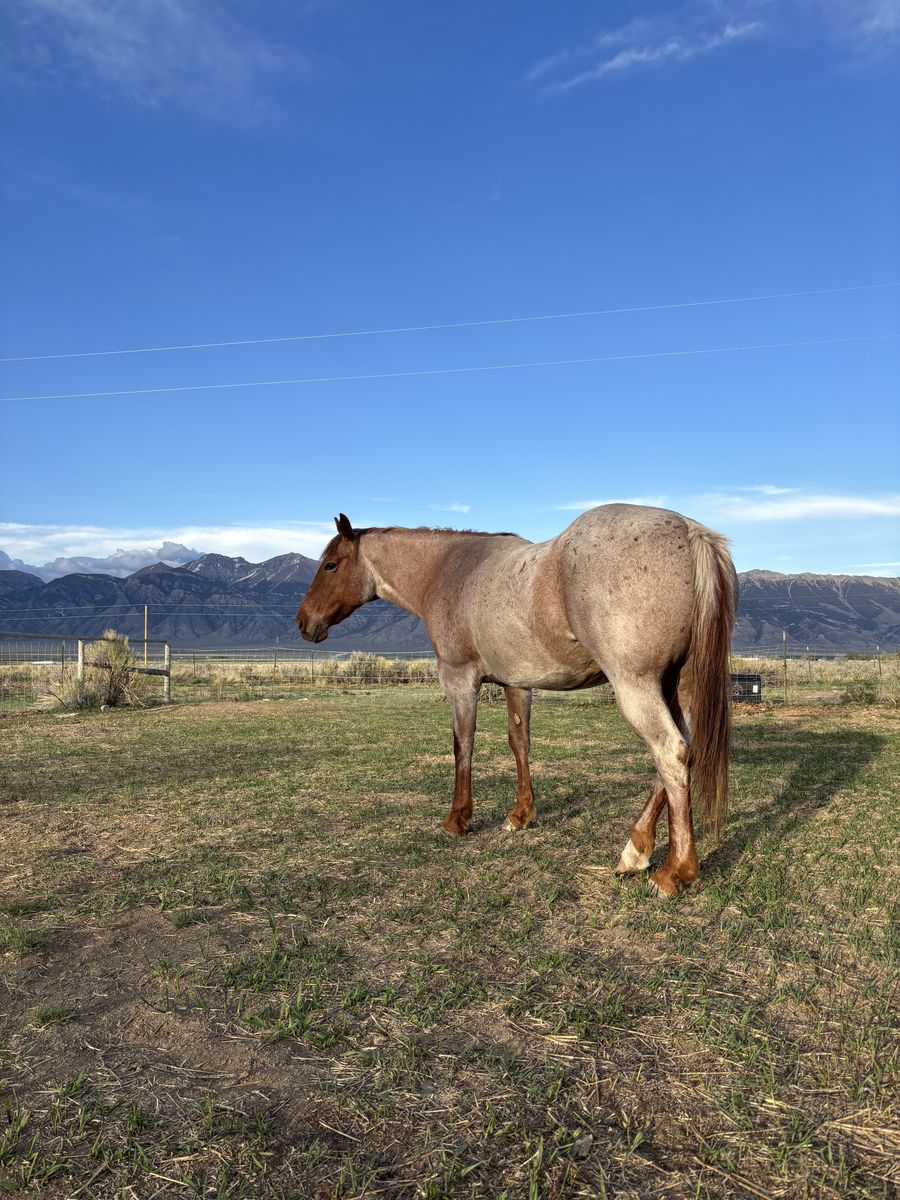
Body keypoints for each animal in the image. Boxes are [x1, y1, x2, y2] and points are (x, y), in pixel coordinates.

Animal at [296, 505, 737, 898]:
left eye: (330, 565)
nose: (303, 622)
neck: (448, 572)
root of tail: (690, 532)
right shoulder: (517, 684)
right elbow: (519, 743)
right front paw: (520, 815)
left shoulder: (458, 679)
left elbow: (463, 745)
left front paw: (458, 819)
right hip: (676, 686)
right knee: (682, 754)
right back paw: (636, 851)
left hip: (636, 686)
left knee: (670, 754)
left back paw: (673, 872)